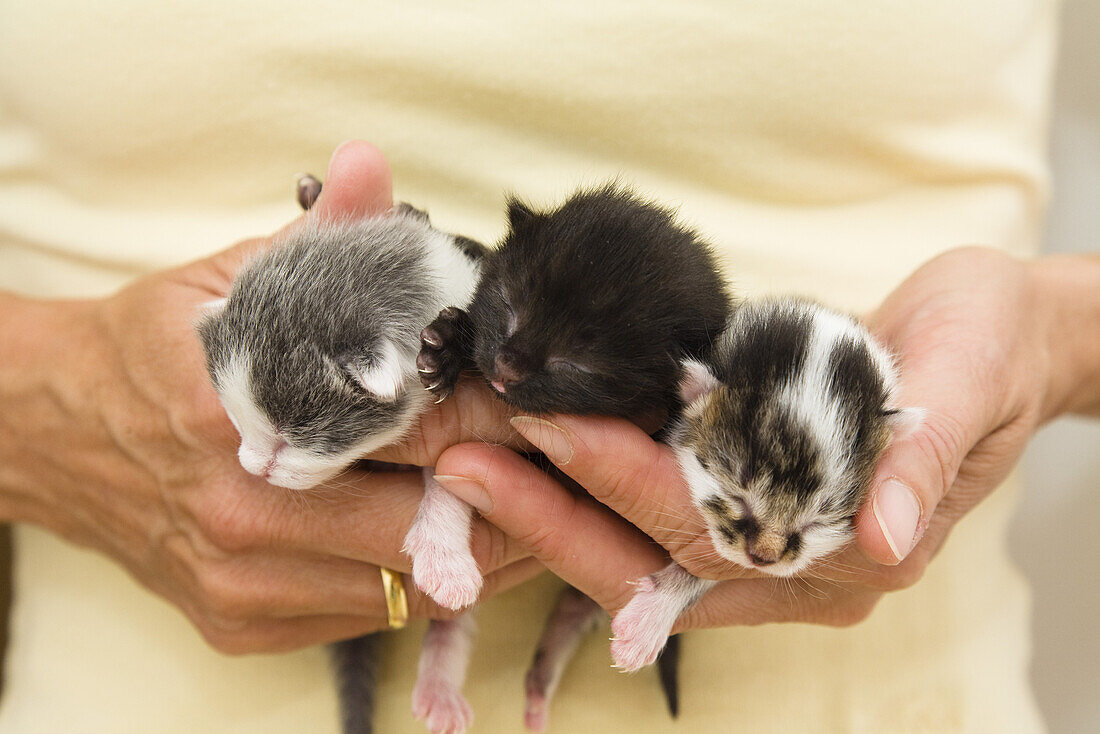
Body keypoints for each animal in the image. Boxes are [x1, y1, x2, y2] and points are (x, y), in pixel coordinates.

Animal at [413, 183, 730, 730]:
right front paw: (449, 344)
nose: (505, 367)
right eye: (508, 306)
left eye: (578, 363)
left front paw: (654, 617)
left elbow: (709, 557)